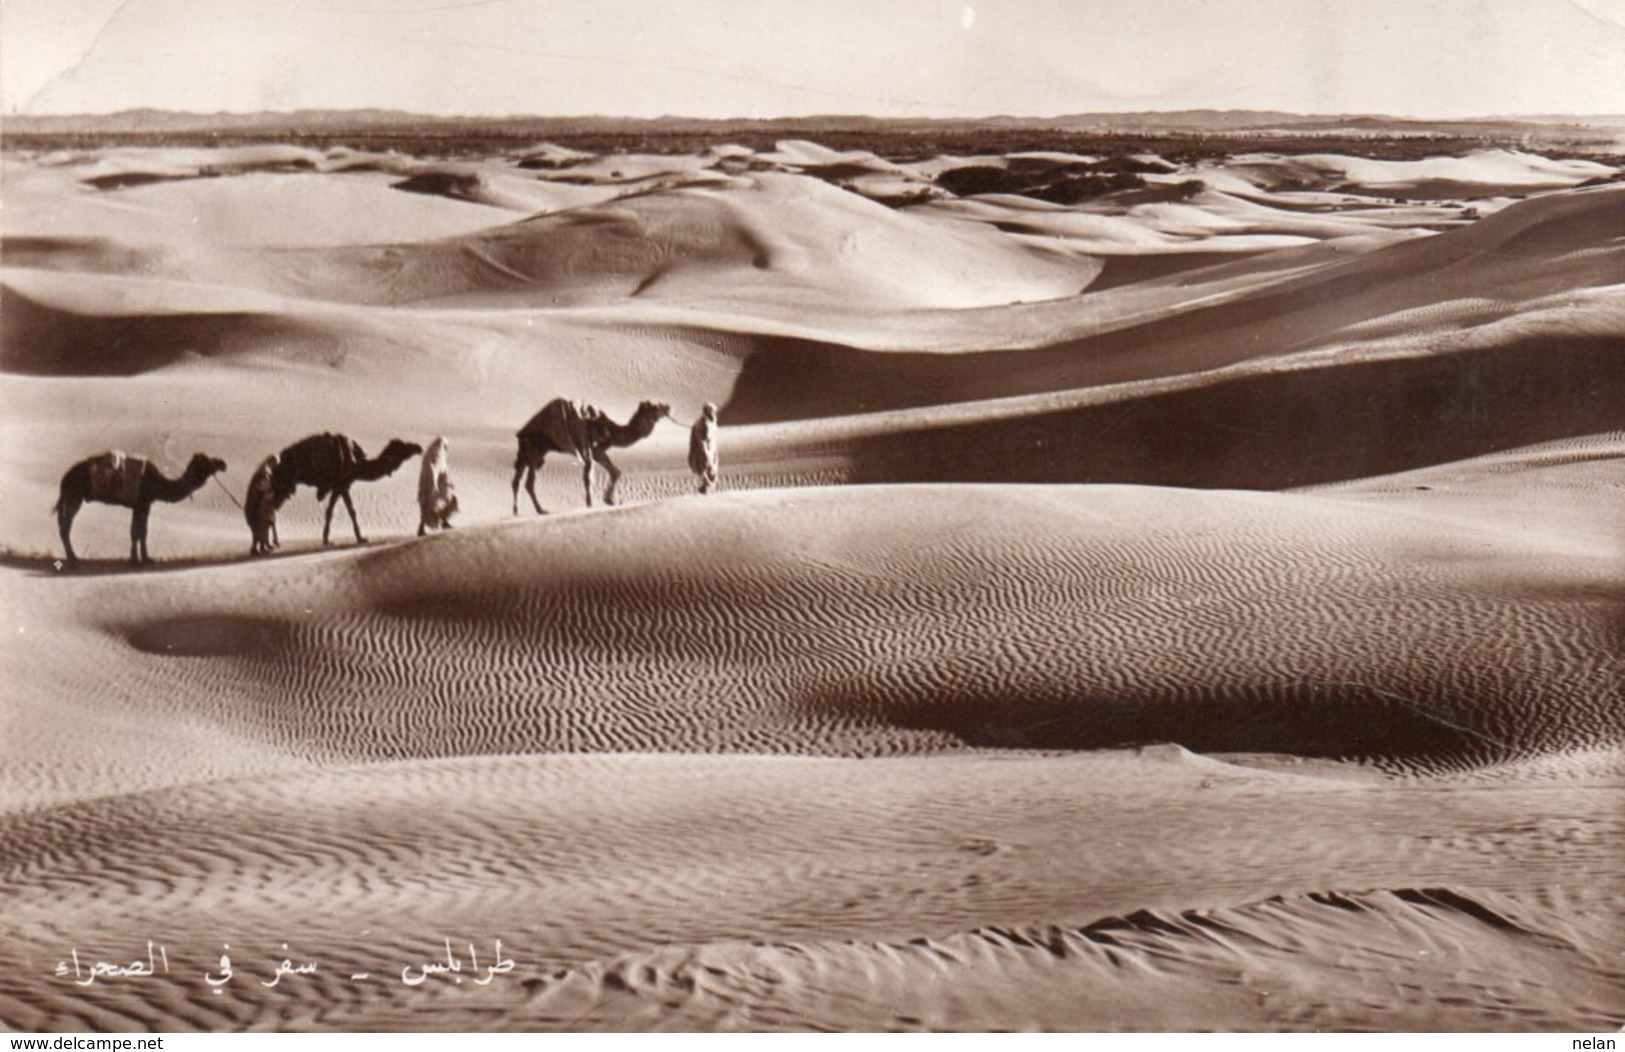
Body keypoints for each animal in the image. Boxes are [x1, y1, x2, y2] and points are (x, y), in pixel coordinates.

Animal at [55, 452, 229, 569]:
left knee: (64, 526)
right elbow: (137, 532)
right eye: (207, 462)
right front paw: (136, 561)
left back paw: (73, 558)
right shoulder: (141, 503)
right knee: (65, 527)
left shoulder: (143, 505)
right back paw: (73, 559)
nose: (223, 464)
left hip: (72, 497)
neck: (159, 484)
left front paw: (145, 559)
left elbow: (140, 531)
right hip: (73, 497)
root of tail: (64, 478)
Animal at [269, 432, 419, 543]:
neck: (356, 464)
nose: (418, 448)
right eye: (403, 447)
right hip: (285, 484)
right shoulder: (342, 485)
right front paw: (360, 538)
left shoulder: (339, 486)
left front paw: (327, 539)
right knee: (271, 509)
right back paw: (274, 543)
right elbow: (351, 511)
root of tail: (277, 462)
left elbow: (331, 511)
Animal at [516, 399, 676, 513]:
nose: (668, 406)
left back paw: (517, 511)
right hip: (535, 450)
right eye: (655, 407)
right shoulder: (587, 445)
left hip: (528, 452)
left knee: (517, 480)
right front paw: (590, 505)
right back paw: (541, 510)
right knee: (529, 482)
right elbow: (589, 477)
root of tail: (521, 432)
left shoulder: (598, 448)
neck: (609, 428)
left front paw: (609, 500)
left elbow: (615, 471)